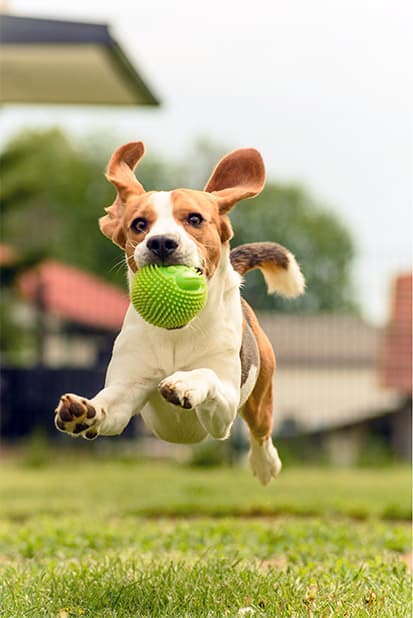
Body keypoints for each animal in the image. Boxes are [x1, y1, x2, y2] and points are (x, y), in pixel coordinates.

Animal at [54, 142, 304, 484]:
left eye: (195, 219)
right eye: (139, 224)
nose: (161, 242)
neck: (177, 330)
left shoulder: (224, 410)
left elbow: (207, 374)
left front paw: (185, 384)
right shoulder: (128, 391)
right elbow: (108, 405)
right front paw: (84, 411)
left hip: (260, 392)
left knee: (261, 430)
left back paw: (265, 464)